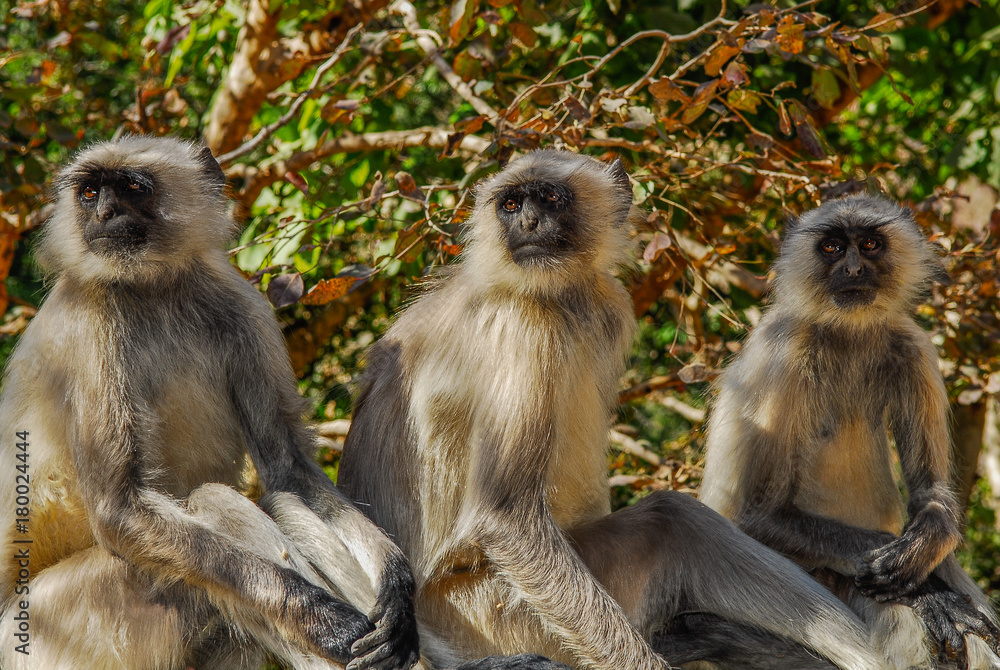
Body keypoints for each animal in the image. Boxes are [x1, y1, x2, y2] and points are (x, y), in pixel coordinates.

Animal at [0, 135, 430, 670]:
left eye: (131, 188)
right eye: (89, 192)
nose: (102, 214)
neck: (152, 287)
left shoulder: (241, 304)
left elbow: (287, 466)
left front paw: (396, 585)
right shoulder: (89, 319)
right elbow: (119, 509)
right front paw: (324, 622)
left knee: (280, 500)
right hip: (71, 625)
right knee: (215, 503)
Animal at [337, 149, 894, 670]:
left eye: (550, 199)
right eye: (512, 204)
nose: (527, 224)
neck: (556, 294)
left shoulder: (607, 305)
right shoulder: (525, 325)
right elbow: (506, 517)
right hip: (487, 614)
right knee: (672, 520)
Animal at [700, 194, 1000, 670]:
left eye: (870, 244)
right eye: (832, 248)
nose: (854, 269)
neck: (847, 333)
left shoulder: (912, 345)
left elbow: (930, 499)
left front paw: (924, 551)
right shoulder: (784, 350)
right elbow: (760, 515)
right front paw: (929, 594)